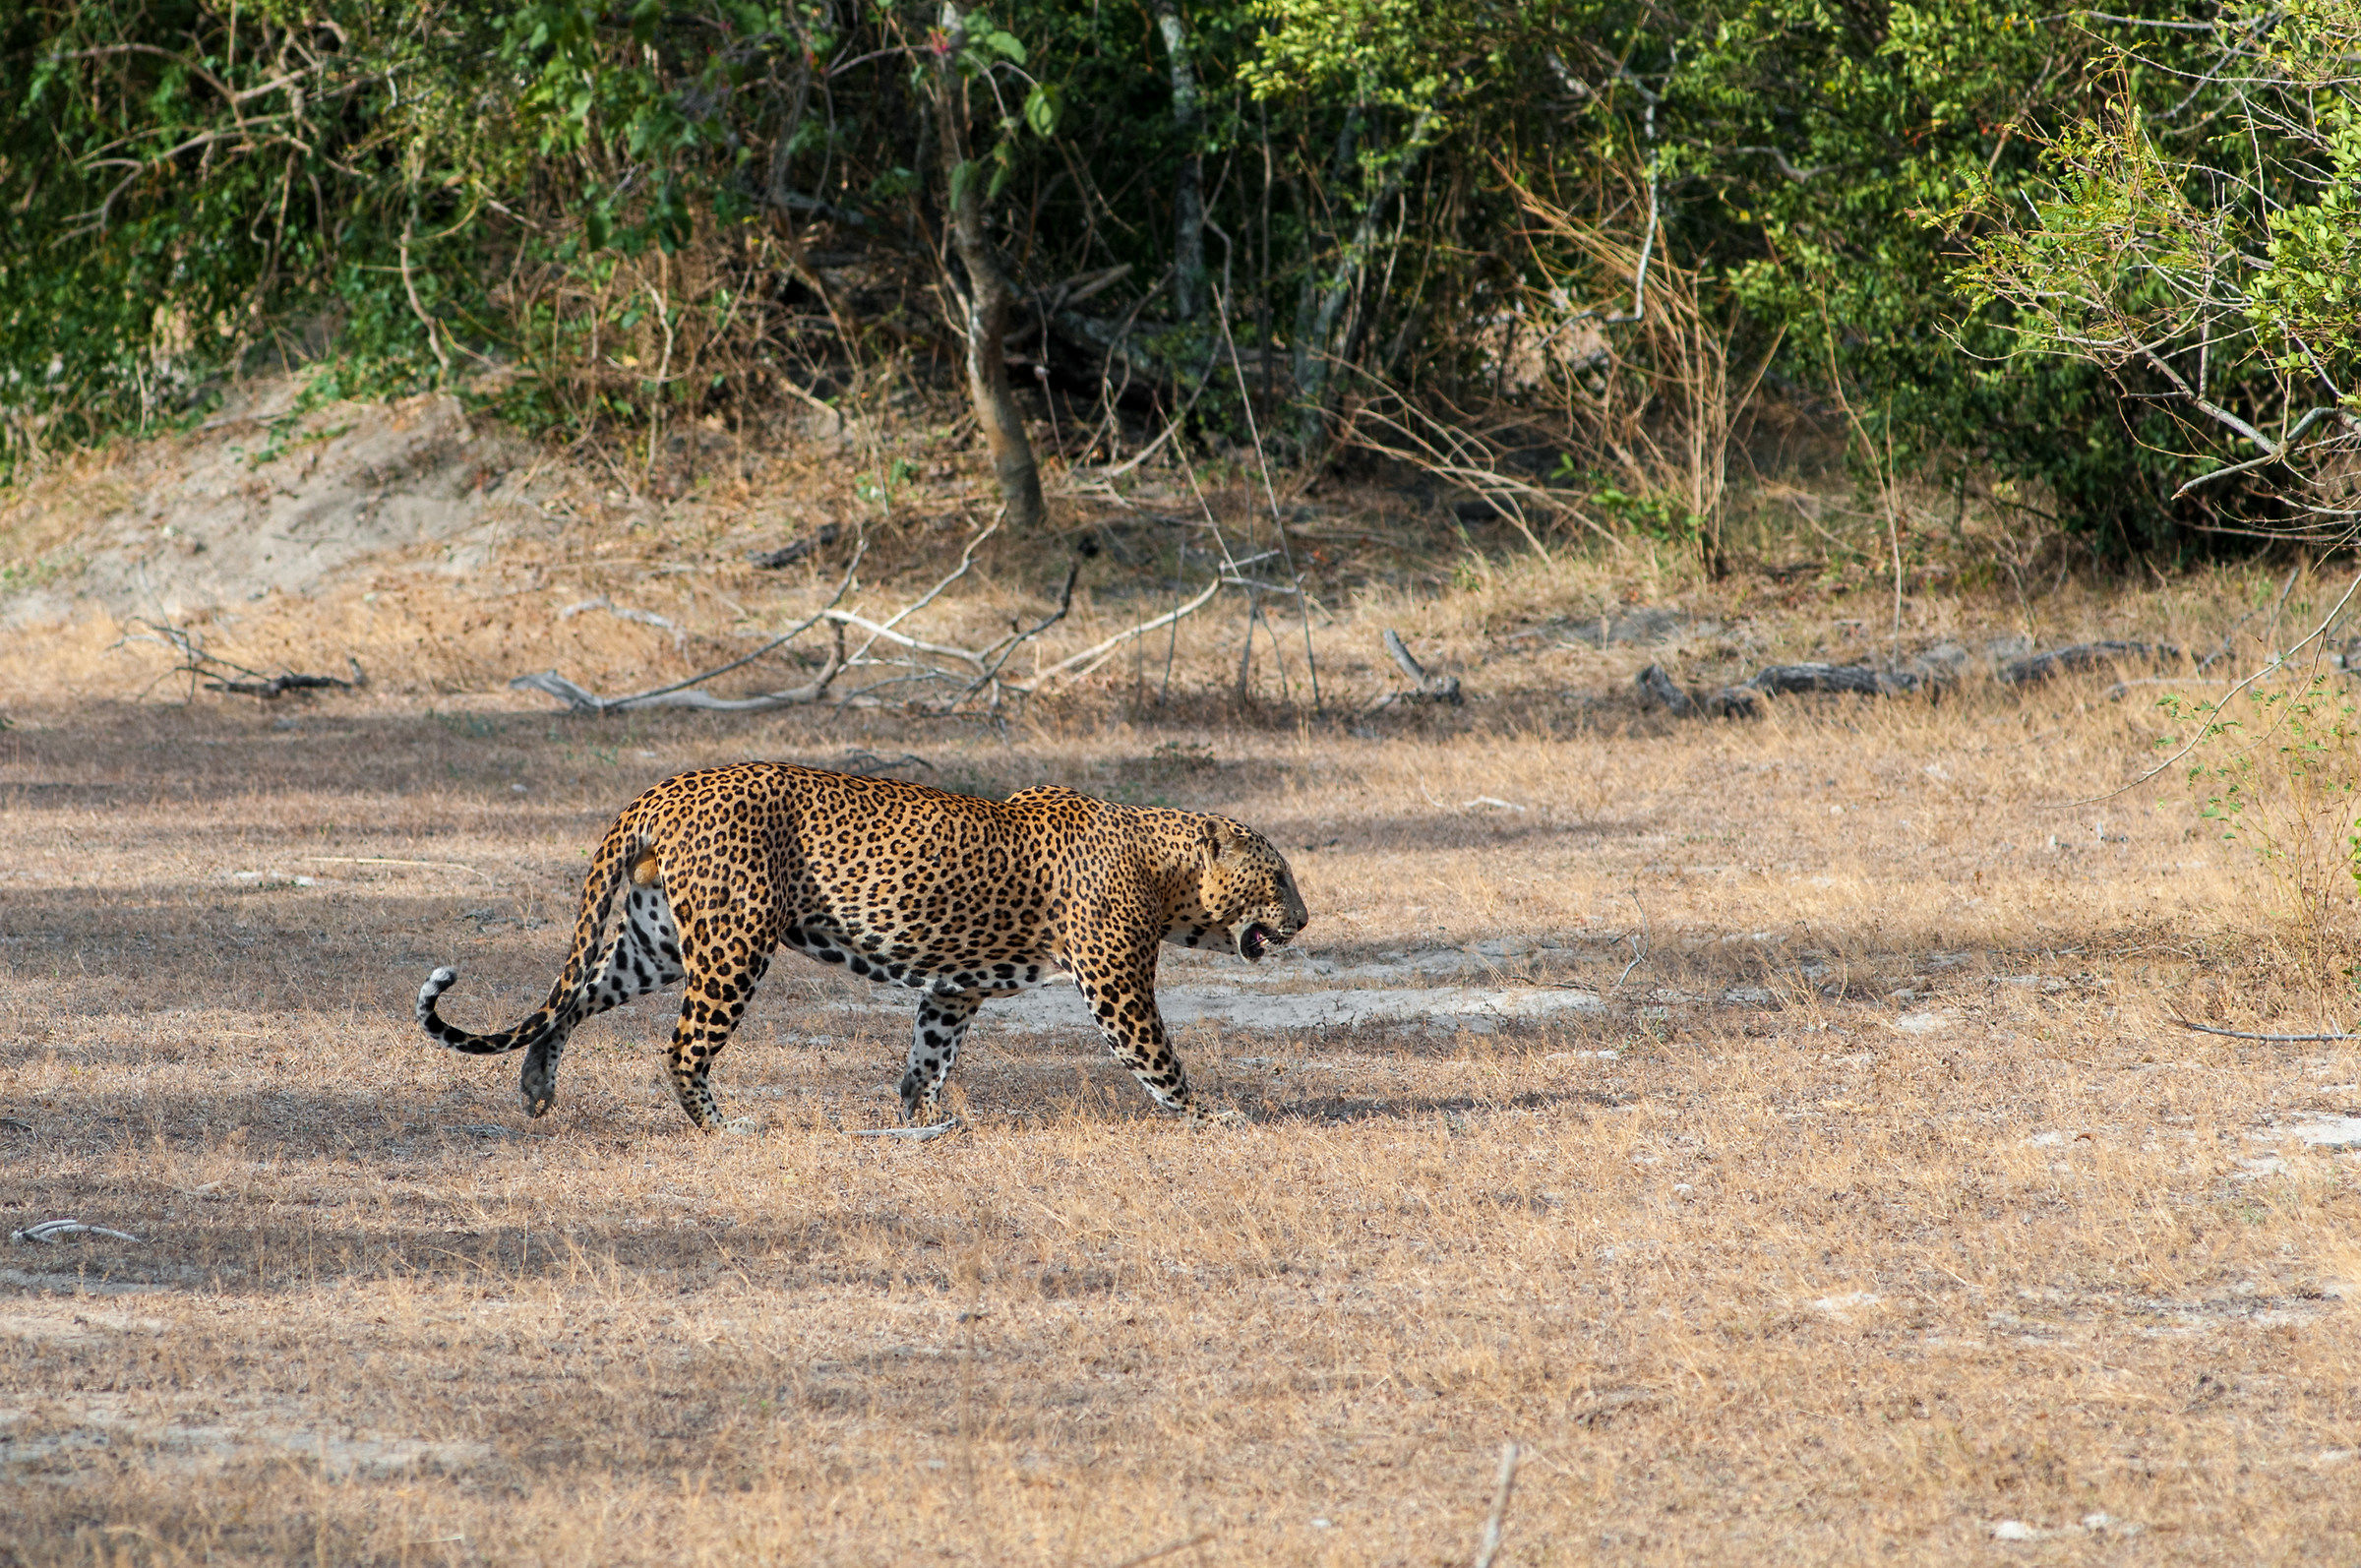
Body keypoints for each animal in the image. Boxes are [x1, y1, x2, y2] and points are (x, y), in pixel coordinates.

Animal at [415, 762, 1309, 1129]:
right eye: (1278, 875)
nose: (1304, 920)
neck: (1163, 868)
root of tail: (663, 791)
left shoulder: (954, 988)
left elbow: (928, 1057)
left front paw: (923, 1121)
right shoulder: (1117, 983)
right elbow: (1160, 1060)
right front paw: (1214, 1116)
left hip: (660, 940)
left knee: (573, 999)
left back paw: (537, 1087)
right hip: (735, 944)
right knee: (680, 1047)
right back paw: (724, 1127)